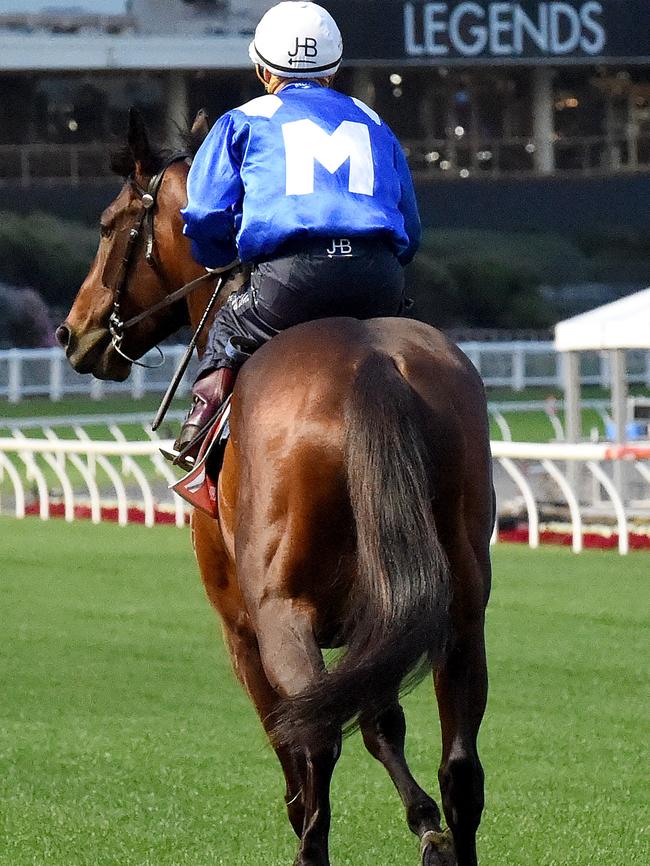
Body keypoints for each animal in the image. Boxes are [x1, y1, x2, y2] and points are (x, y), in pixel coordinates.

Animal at [57, 109, 492, 864]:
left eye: (111, 224)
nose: (72, 332)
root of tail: (371, 364)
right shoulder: (381, 618)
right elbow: (381, 720)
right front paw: (425, 825)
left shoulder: (239, 626)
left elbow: (302, 749)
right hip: (463, 607)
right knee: (460, 763)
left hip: (280, 612)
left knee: (312, 743)